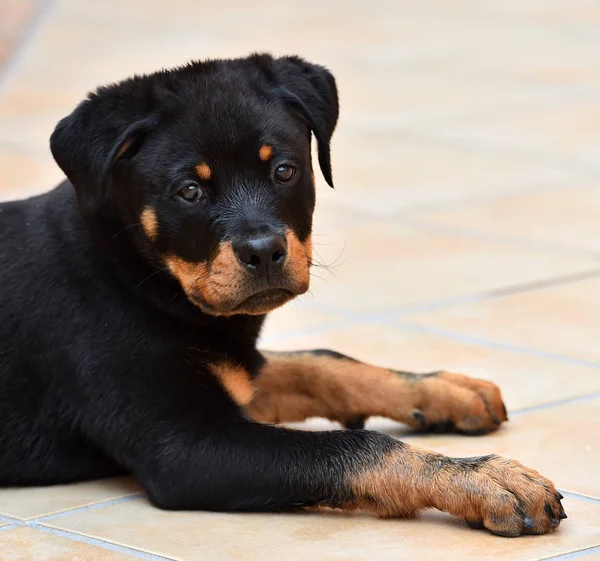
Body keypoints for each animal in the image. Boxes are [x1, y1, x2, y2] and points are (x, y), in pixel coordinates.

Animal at [0, 54, 564, 536]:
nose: (264, 251)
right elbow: (352, 446)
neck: (137, 273)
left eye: (284, 170)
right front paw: (485, 479)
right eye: (189, 190)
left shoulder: (238, 372)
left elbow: (324, 362)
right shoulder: (184, 447)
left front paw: (445, 388)